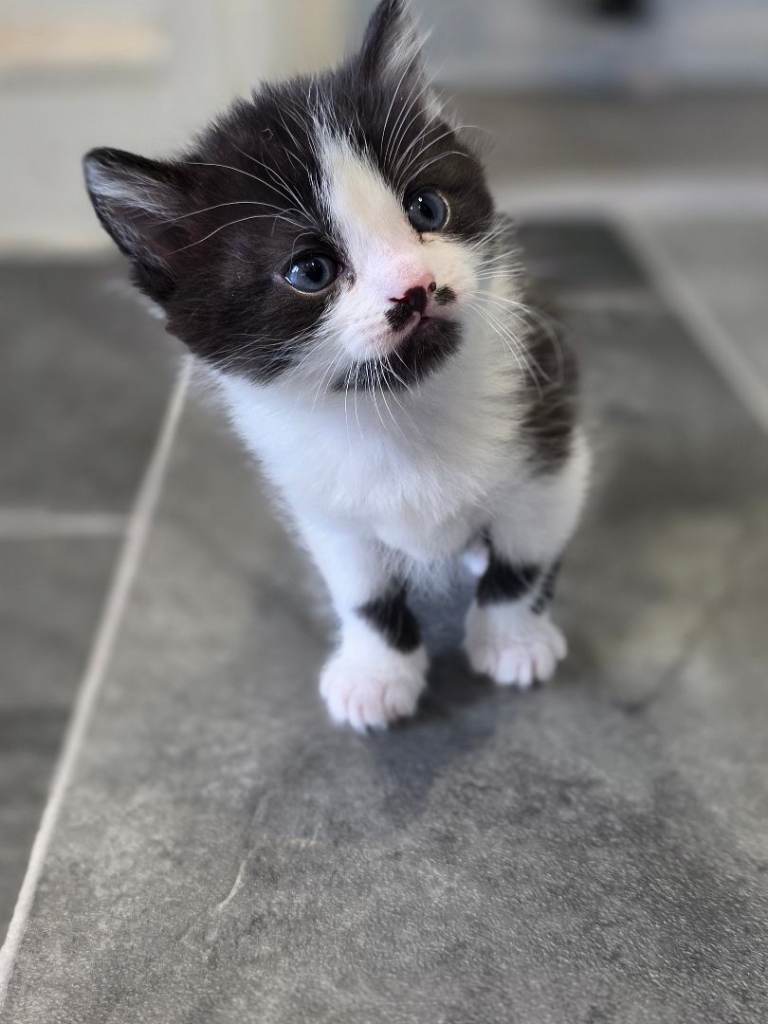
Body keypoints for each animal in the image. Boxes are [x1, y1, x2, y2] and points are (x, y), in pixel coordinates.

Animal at [83, 0, 589, 732]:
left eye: (426, 207)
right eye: (310, 271)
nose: (416, 287)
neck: (404, 412)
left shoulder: (550, 438)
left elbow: (522, 559)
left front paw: (511, 640)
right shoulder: (318, 498)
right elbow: (363, 591)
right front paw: (377, 674)